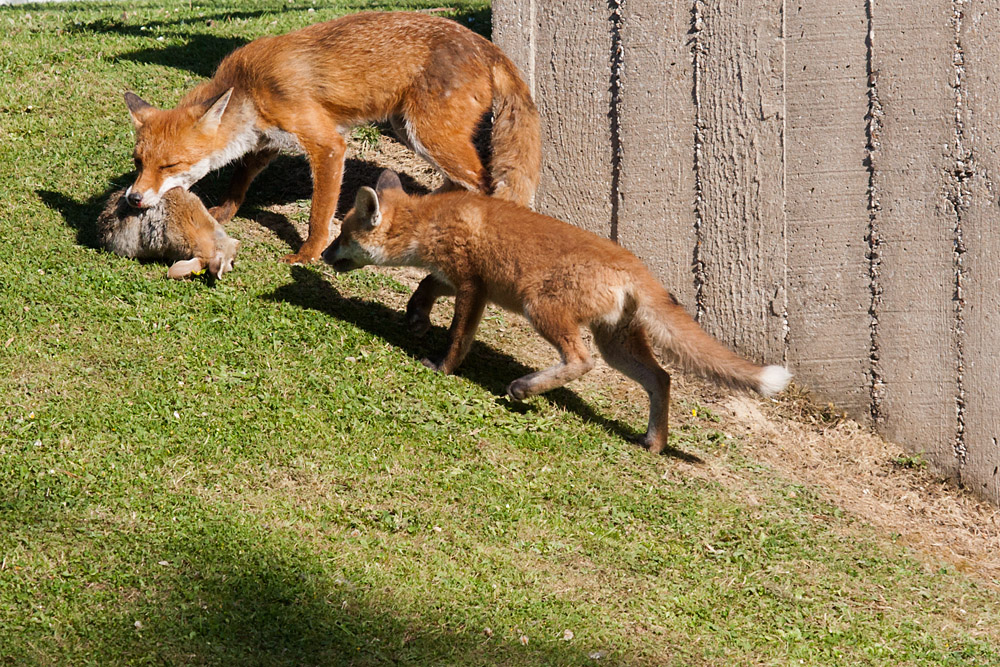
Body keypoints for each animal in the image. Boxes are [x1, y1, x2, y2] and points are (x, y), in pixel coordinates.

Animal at [122, 10, 541, 273]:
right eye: (138, 163)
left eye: (169, 165)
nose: (133, 199)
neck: (249, 86)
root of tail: (488, 46)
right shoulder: (269, 139)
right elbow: (241, 177)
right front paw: (224, 212)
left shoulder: (326, 144)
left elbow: (318, 214)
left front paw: (307, 254)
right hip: (408, 130)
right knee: (456, 183)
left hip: (430, 135)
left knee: (482, 184)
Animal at [322, 170, 792, 454]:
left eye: (342, 234)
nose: (323, 254)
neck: (431, 222)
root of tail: (634, 266)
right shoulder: (455, 277)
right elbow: (423, 288)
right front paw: (416, 319)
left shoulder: (473, 286)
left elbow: (458, 337)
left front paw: (443, 367)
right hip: (616, 345)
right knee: (661, 378)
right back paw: (654, 443)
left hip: (542, 309)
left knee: (581, 361)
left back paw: (526, 388)